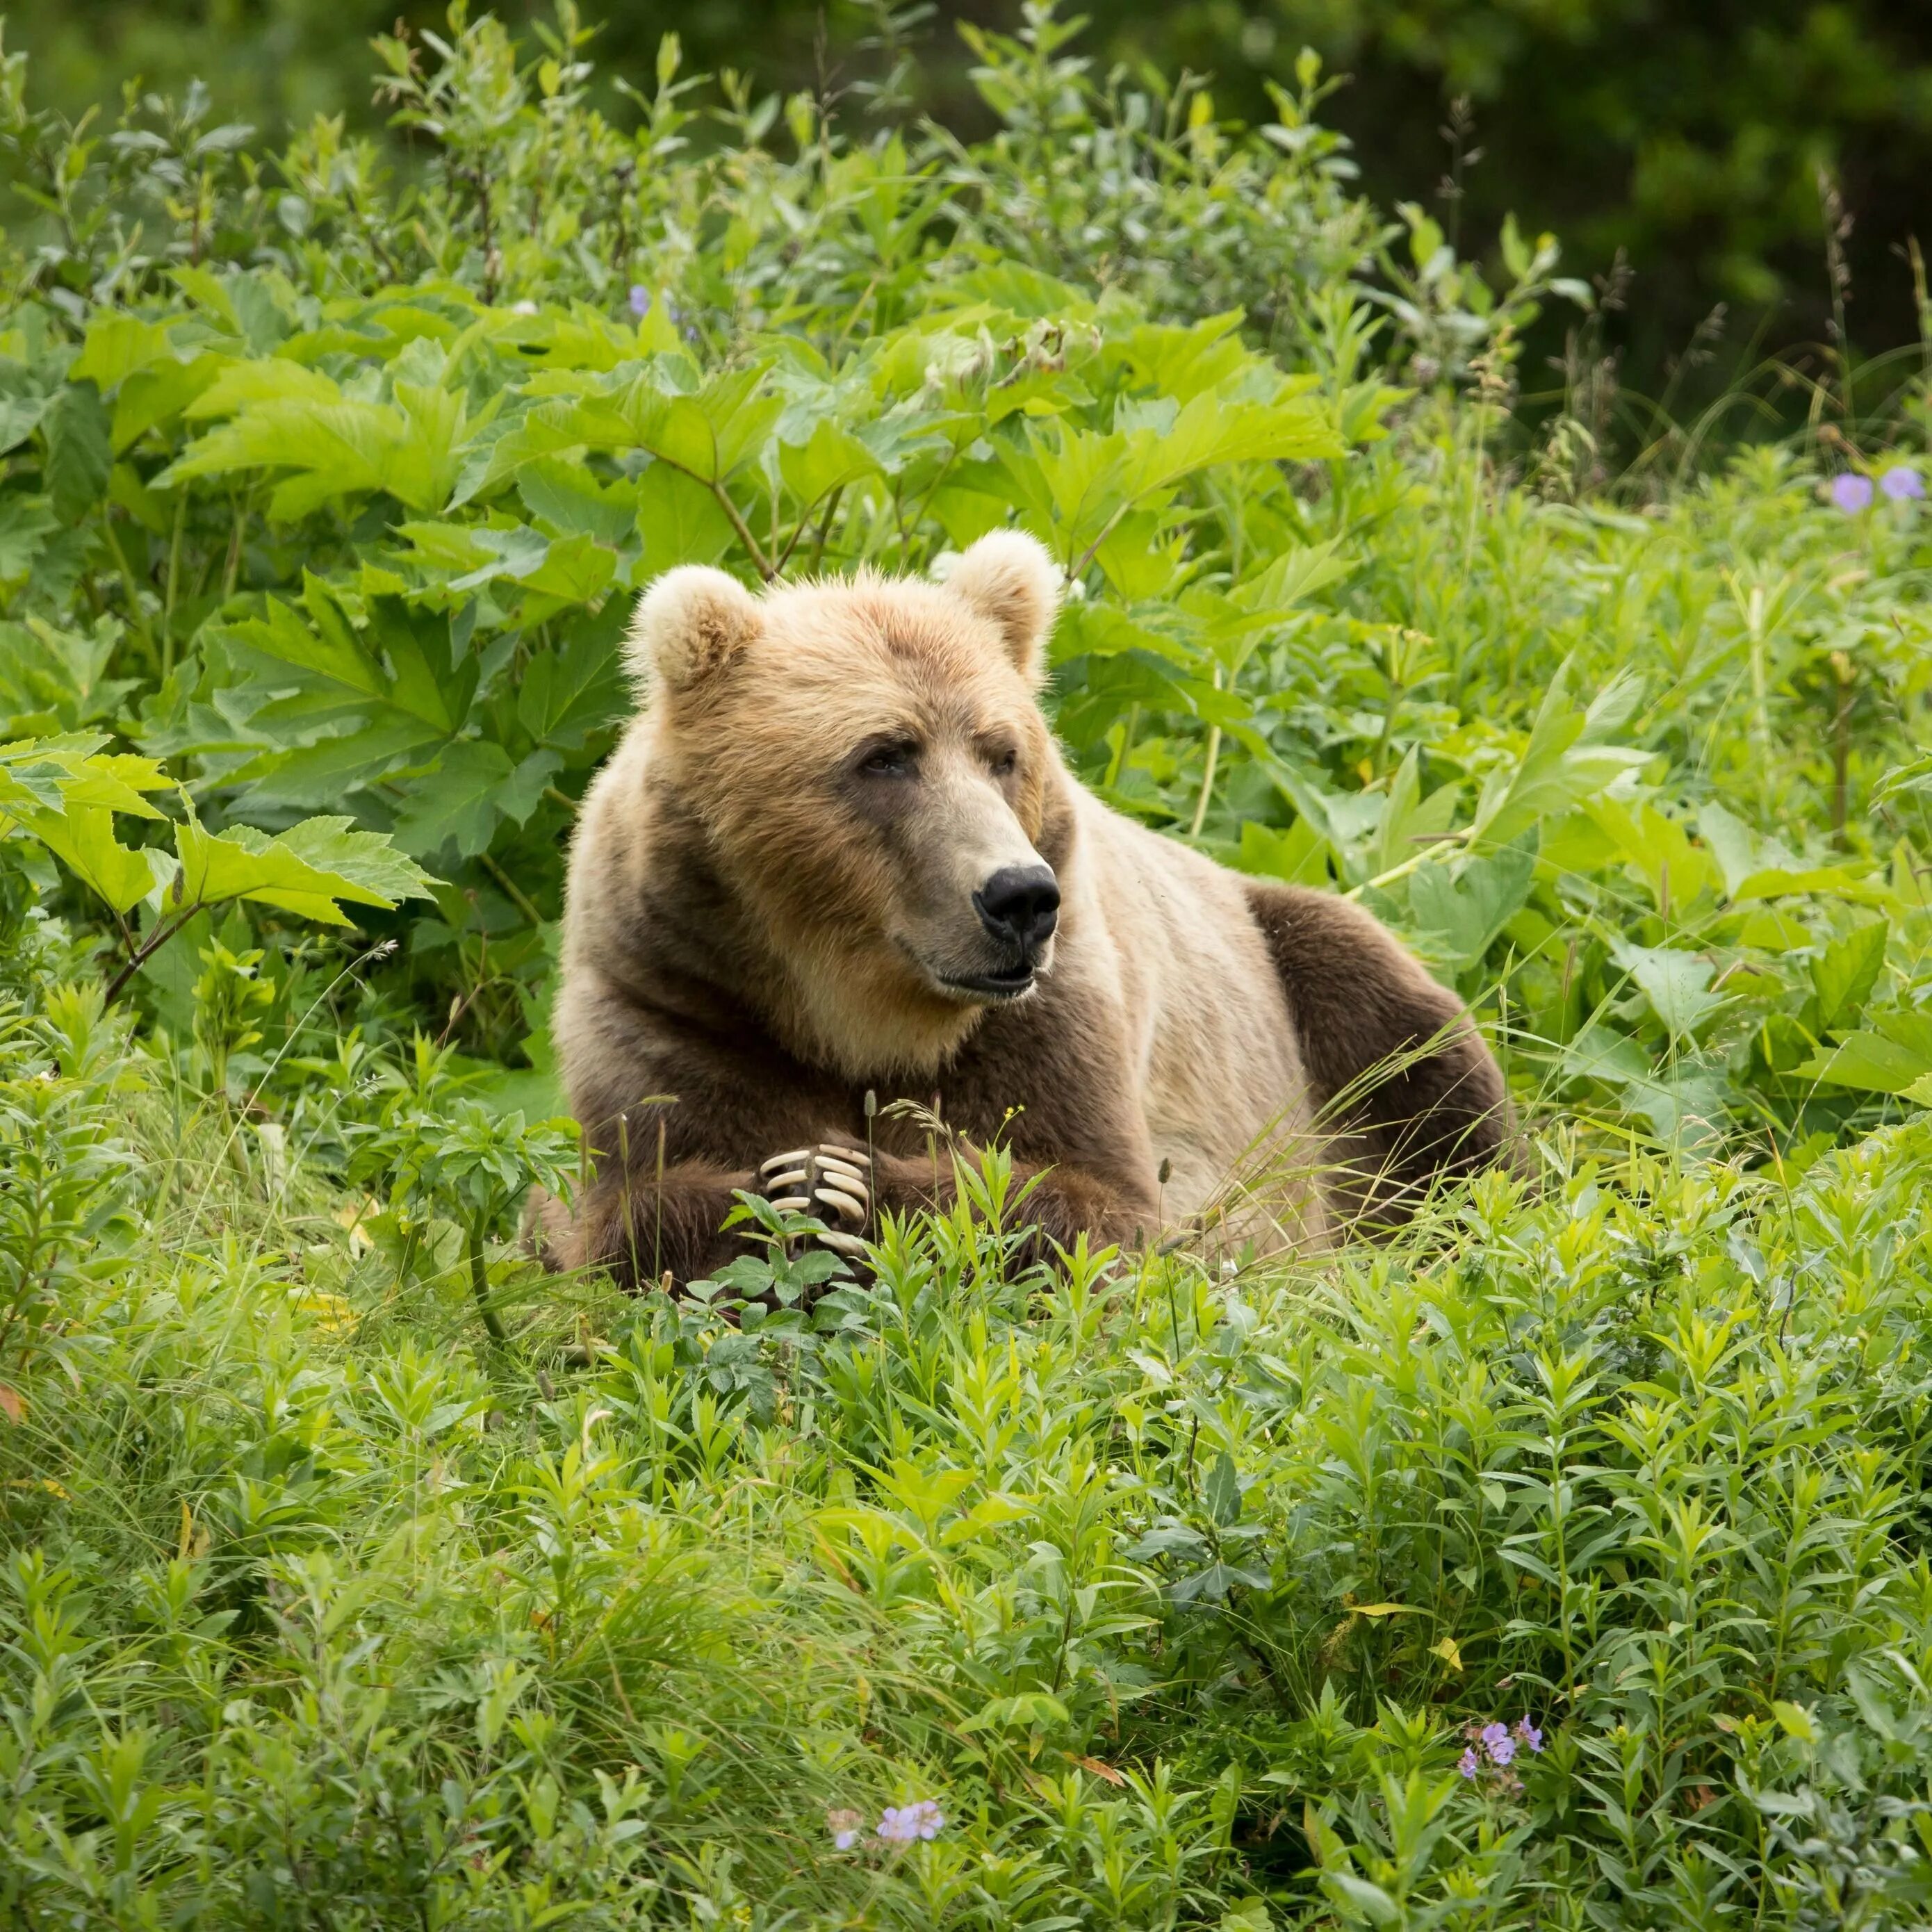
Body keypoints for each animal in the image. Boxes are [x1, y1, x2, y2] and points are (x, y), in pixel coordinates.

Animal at [541, 529, 1507, 1291]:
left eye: (1000, 751)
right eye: (884, 756)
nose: (1019, 896)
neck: (857, 1014)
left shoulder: (1055, 1009)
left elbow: (1098, 1206)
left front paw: (853, 1182)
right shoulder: (680, 1002)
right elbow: (627, 1209)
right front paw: (784, 1180)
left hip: (1297, 977)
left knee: (1422, 1070)